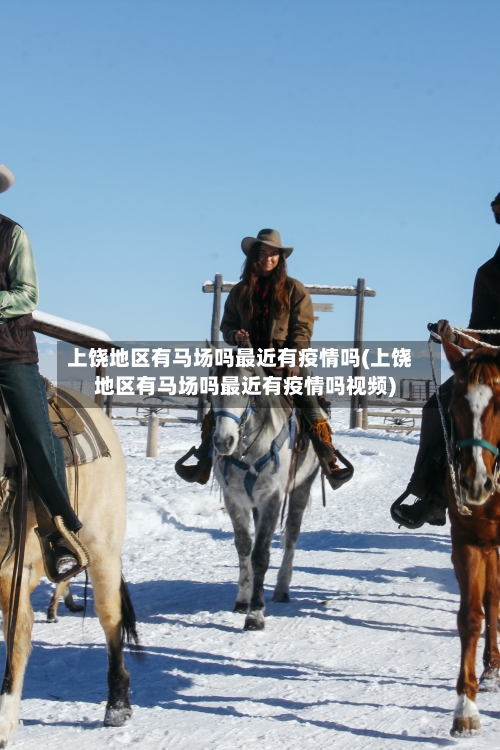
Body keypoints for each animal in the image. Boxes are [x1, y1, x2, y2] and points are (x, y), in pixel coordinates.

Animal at [211, 361, 320, 631]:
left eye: (246, 389)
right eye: (212, 388)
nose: (223, 441)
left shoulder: (272, 497)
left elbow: (261, 554)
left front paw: (255, 613)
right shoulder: (234, 499)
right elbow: (244, 548)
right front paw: (243, 599)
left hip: (302, 488)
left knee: (291, 537)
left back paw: (282, 589)